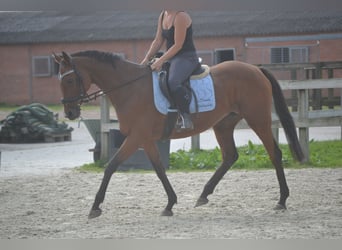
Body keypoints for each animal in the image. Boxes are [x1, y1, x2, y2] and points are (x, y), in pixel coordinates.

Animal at [54, 50, 304, 219]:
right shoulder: (145, 139)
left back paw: (282, 200)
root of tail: (255, 69)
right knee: (230, 156)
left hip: (258, 120)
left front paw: (95, 206)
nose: (69, 112)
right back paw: (204, 194)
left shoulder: (136, 137)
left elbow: (111, 166)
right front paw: (170, 204)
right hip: (223, 125)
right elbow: (159, 169)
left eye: (70, 79)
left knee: (274, 153)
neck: (130, 88)